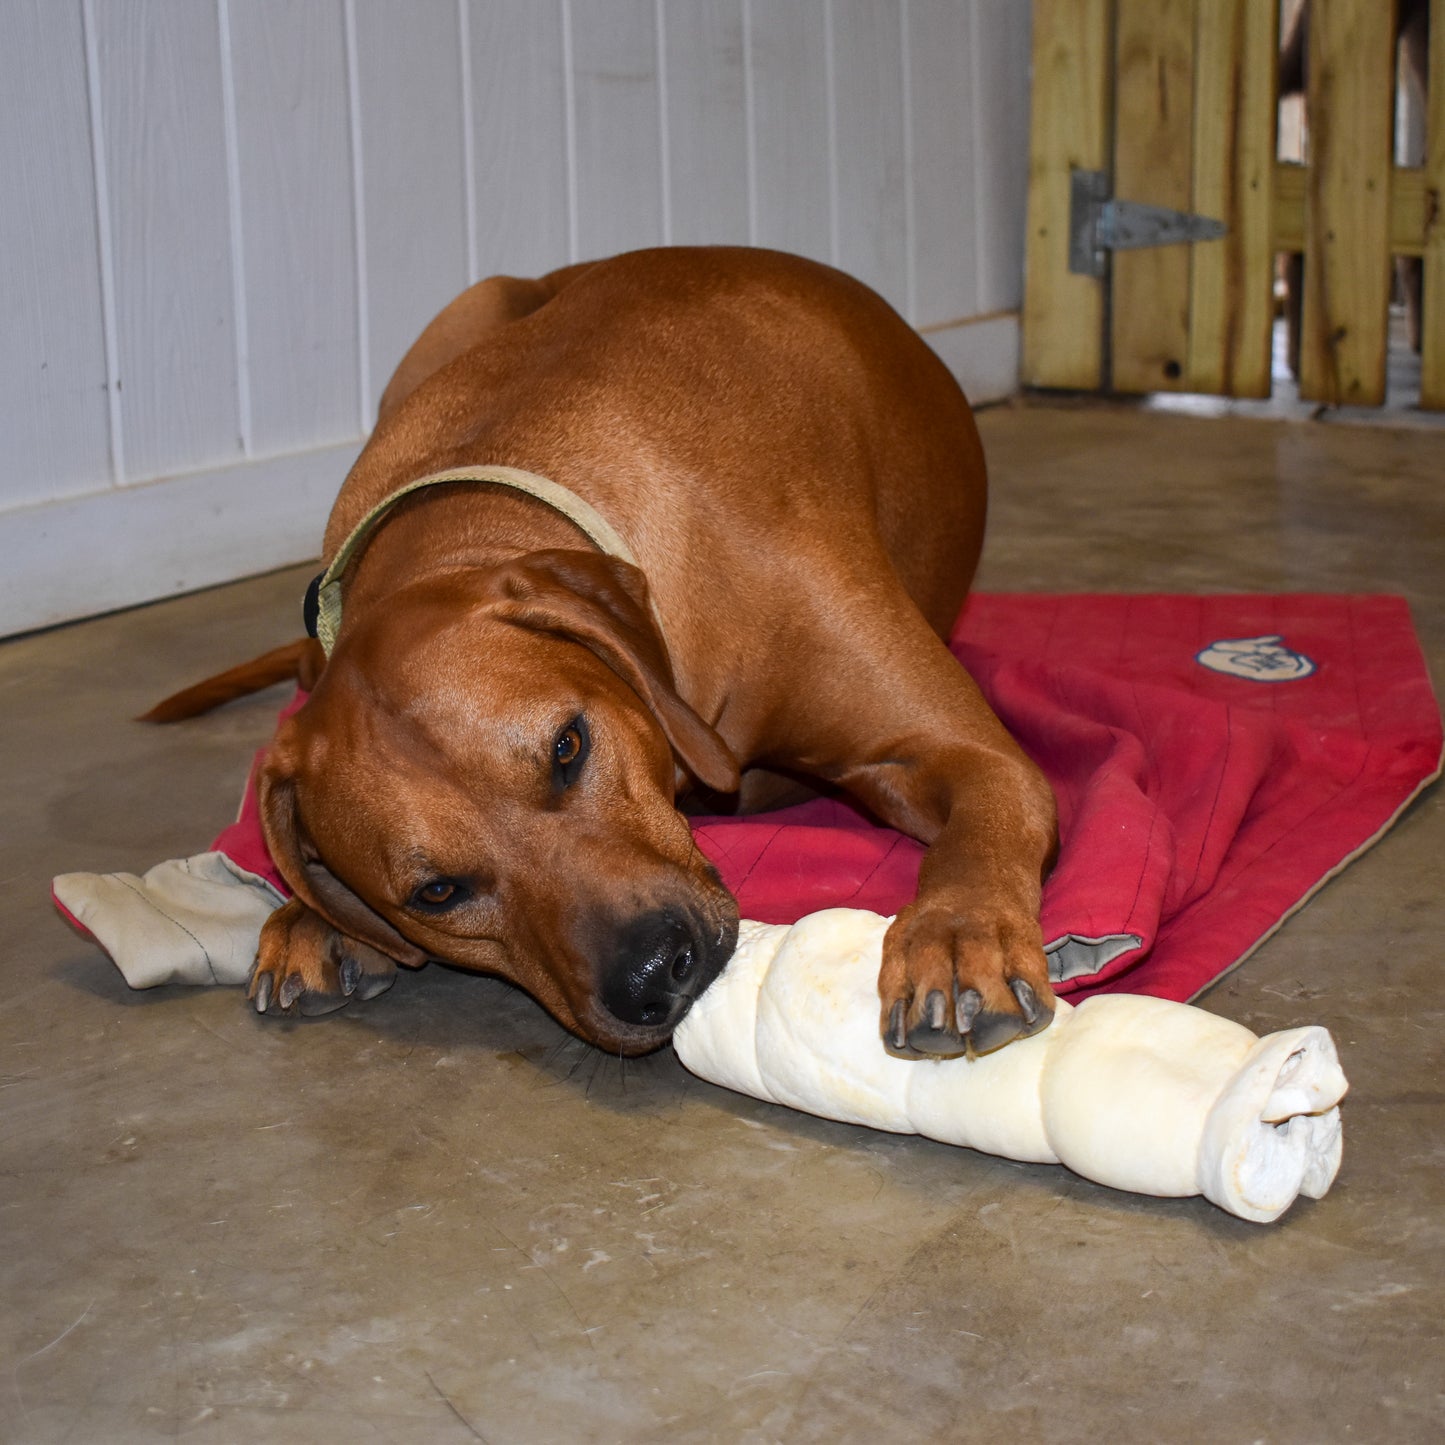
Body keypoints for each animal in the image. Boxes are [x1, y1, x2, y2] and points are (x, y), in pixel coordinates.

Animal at [169, 248, 1057, 1063]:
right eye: (437, 891)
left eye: (568, 746)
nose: (655, 970)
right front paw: (311, 913)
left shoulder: (962, 751)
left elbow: (977, 824)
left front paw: (956, 933)